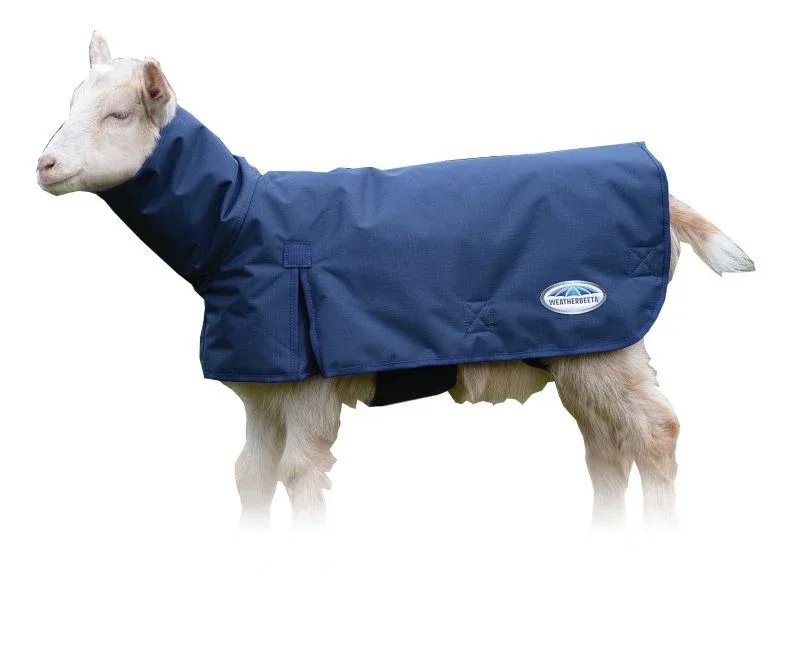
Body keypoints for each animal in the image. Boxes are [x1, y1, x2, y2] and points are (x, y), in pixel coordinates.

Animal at [37, 33, 754, 528]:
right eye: (69, 104)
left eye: (118, 116)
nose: (42, 164)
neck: (239, 224)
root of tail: (659, 186)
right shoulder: (261, 384)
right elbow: (250, 476)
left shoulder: (309, 383)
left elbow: (299, 474)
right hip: (578, 346)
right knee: (604, 445)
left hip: (608, 335)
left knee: (655, 434)